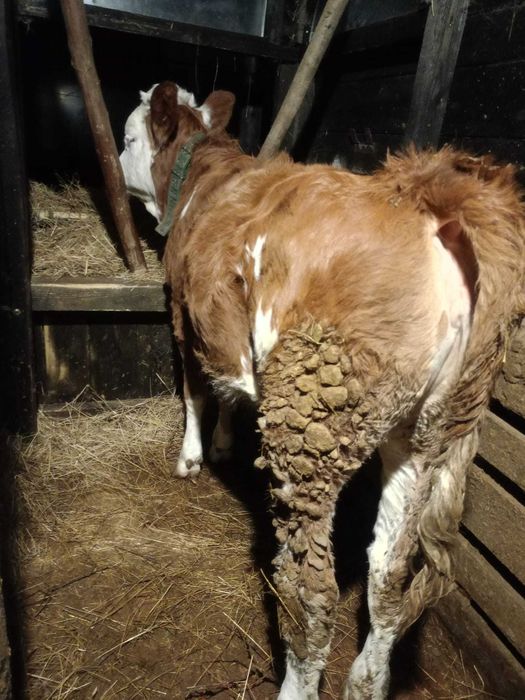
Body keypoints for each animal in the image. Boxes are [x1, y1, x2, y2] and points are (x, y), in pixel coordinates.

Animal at [120, 81, 525, 699]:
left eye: (127, 138)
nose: (117, 167)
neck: (205, 175)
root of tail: (434, 199)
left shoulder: (183, 313)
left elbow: (195, 392)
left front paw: (191, 458)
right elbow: (229, 395)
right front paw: (223, 444)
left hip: (311, 426)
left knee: (312, 593)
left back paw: (298, 682)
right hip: (427, 432)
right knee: (388, 570)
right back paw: (368, 680)